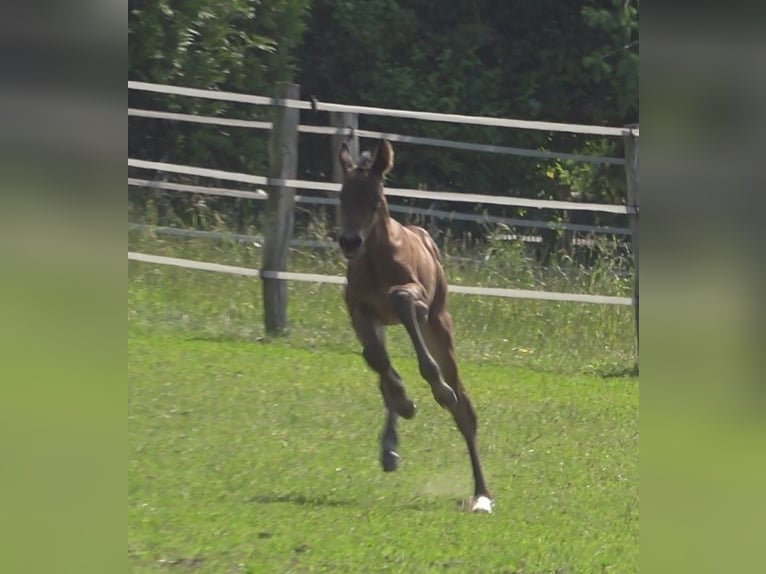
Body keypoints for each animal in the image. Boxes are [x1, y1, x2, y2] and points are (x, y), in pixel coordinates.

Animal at [340, 141, 496, 516]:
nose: (349, 242)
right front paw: (404, 404)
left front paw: (438, 392)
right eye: (341, 196)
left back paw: (482, 495)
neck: (376, 258)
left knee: (464, 410)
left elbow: (403, 303)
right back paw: (390, 447)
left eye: (374, 199)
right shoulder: (358, 310)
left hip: (440, 325)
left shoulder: (419, 306)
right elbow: (377, 360)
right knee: (381, 364)